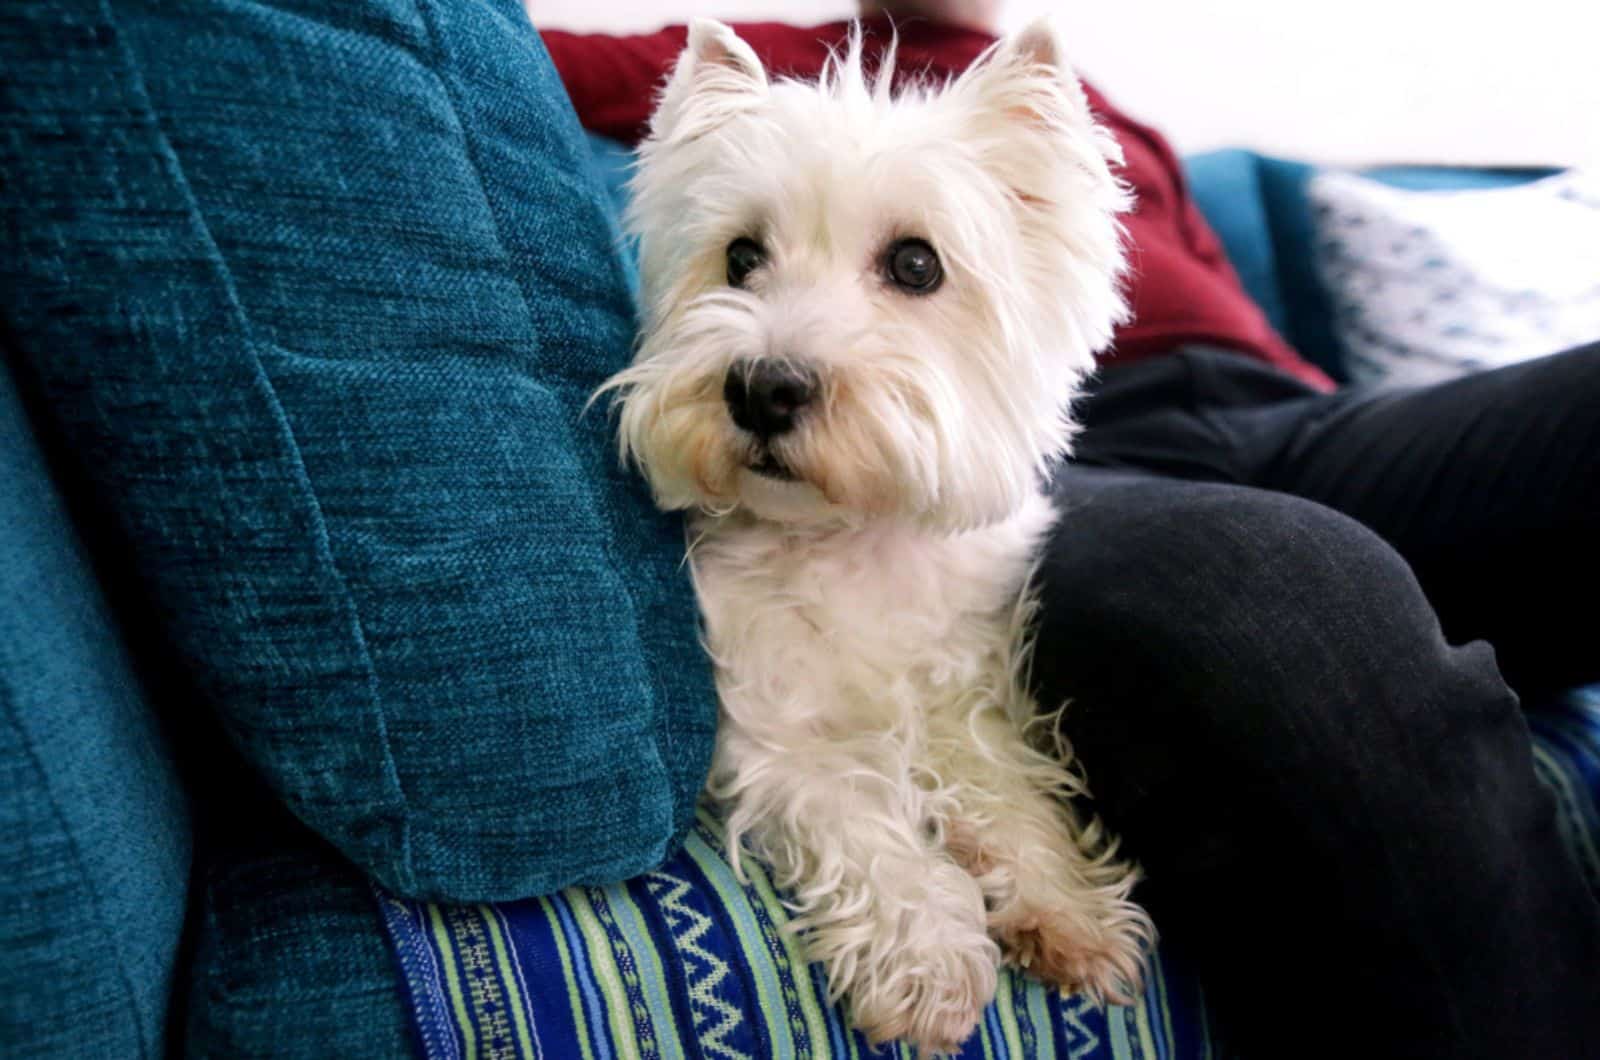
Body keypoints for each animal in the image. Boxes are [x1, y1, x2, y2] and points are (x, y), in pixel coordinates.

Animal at [601, 18, 1152, 1060]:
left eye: (915, 265)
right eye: (740, 258)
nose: (762, 387)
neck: (851, 538)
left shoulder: (967, 692)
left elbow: (1009, 788)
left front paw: (1067, 908)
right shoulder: (765, 731)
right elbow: (862, 816)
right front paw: (931, 960)